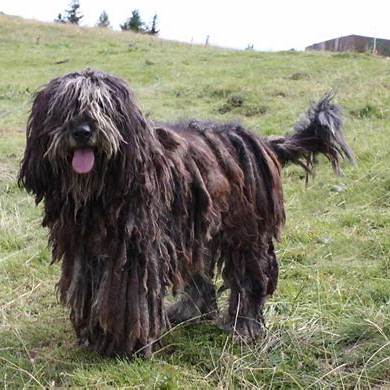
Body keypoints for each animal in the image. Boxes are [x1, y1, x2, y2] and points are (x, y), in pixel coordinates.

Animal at [19, 69, 354, 356]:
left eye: (103, 105)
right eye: (64, 106)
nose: (83, 131)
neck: (101, 191)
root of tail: (262, 142)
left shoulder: (135, 253)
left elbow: (128, 299)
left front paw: (124, 345)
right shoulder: (85, 249)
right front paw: (93, 336)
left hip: (245, 230)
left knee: (250, 277)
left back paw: (245, 326)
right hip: (195, 228)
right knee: (199, 274)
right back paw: (188, 310)